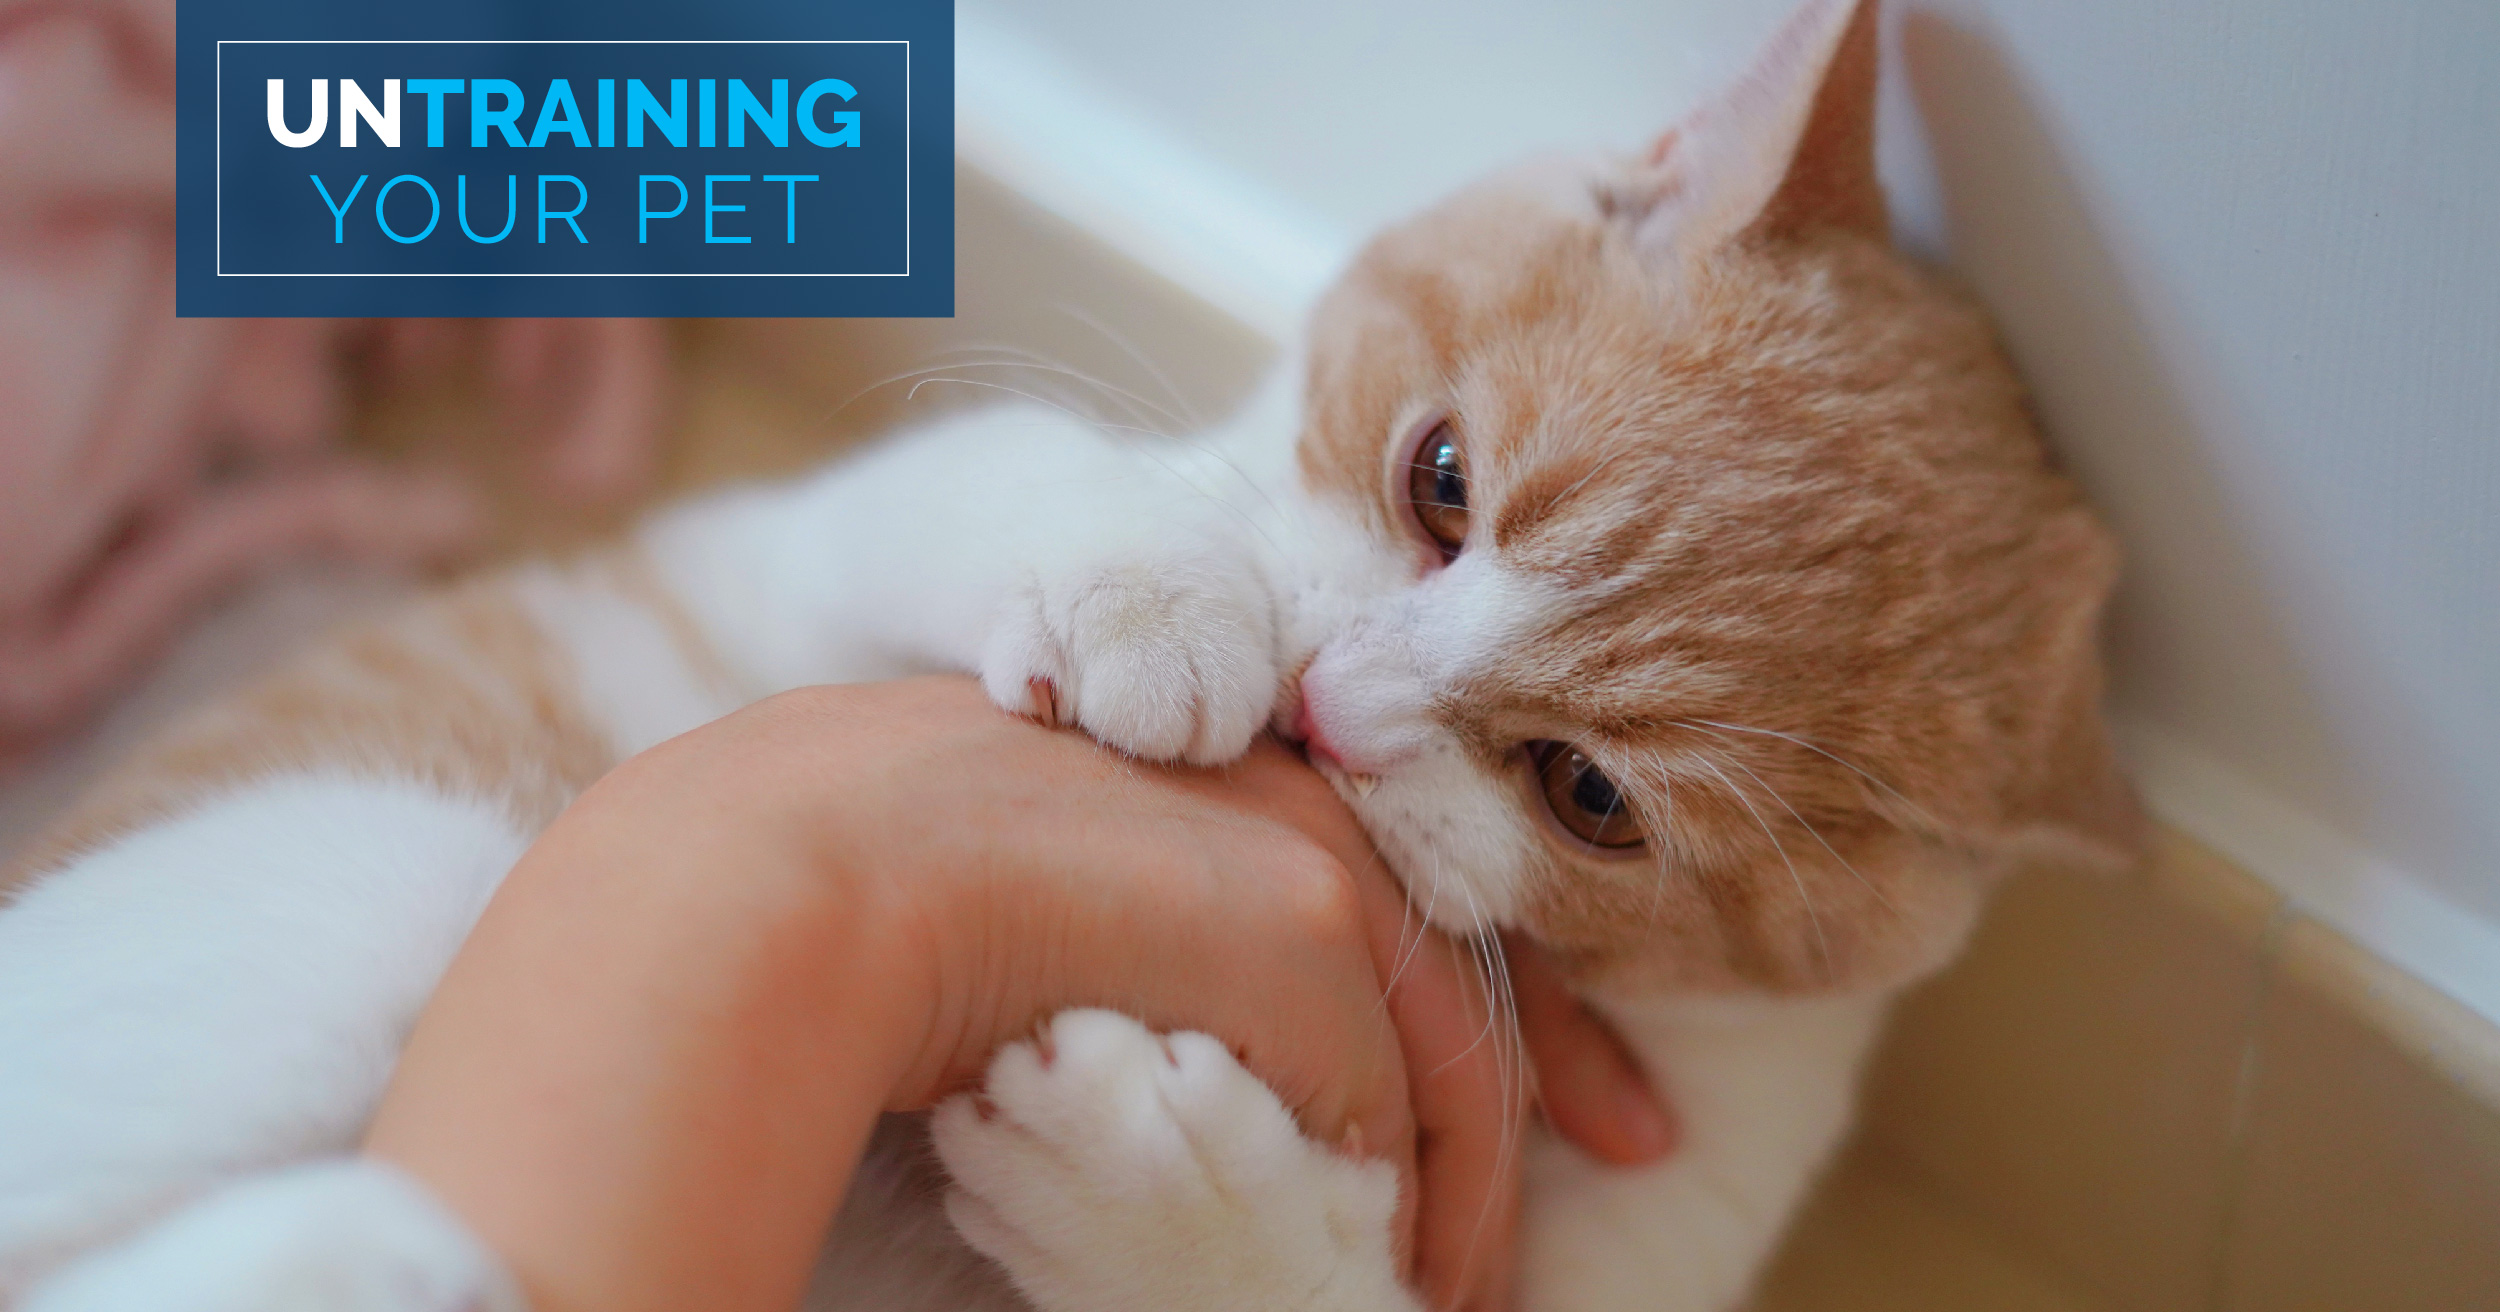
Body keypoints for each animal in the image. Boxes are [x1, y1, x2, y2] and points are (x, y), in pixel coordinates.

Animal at [4, 0, 2150, 1299]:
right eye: (1441, 479)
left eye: (1591, 797)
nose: (1329, 711)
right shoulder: (799, 558)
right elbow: (1020, 470)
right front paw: (1153, 595)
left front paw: (1175, 1200)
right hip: (399, 875)